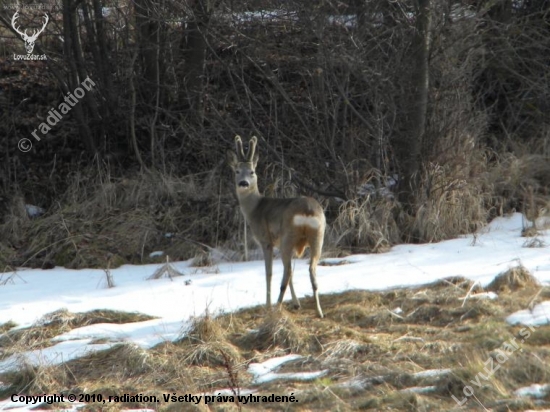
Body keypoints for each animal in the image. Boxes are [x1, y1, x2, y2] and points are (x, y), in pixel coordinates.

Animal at [229, 135, 328, 318]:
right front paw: (296, 304)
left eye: (252, 172)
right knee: (309, 270)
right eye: (237, 171)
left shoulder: (266, 240)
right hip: (318, 236)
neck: (255, 208)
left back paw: (276, 306)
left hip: (287, 238)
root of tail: (307, 211)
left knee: (287, 272)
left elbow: (268, 273)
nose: (243, 183)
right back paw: (319, 311)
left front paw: (268, 305)